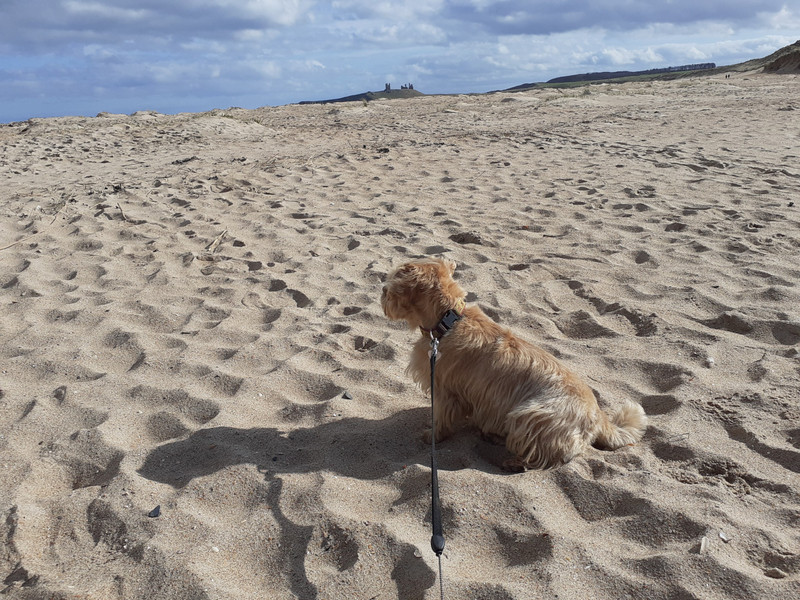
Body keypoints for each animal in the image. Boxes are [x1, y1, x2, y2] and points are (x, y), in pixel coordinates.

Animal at [378, 256, 648, 468]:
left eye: (392, 284)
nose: (381, 290)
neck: (449, 320)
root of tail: (599, 417)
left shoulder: (445, 391)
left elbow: (442, 419)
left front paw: (432, 435)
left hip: (531, 416)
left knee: (543, 455)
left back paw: (512, 460)